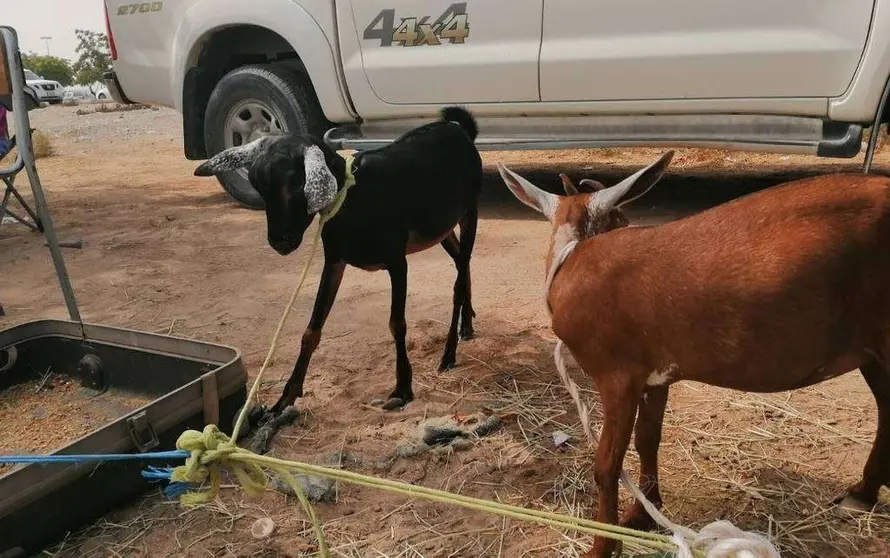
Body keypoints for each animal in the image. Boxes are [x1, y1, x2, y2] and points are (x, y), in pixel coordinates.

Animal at [194, 108, 482, 416]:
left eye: (297, 184)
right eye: (258, 186)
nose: (280, 242)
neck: (353, 199)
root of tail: (457, 127)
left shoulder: (397, 262)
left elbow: (397, 323)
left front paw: (403, 388)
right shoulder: (334, 261)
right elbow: (312, 330)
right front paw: (286, 398)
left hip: (469, 213)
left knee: (459, 280)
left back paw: (449, 353)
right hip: (442, 228)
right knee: (462, 266)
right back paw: (467, 326)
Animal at [496, 153, 888, 558]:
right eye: (621, 218)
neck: (573, 255)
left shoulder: (616, 376)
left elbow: (607, 465)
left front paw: (602, 545)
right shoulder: (654, 376)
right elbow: (647, 439)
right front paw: (643, 513)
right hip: (873, 352)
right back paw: (862, 493)